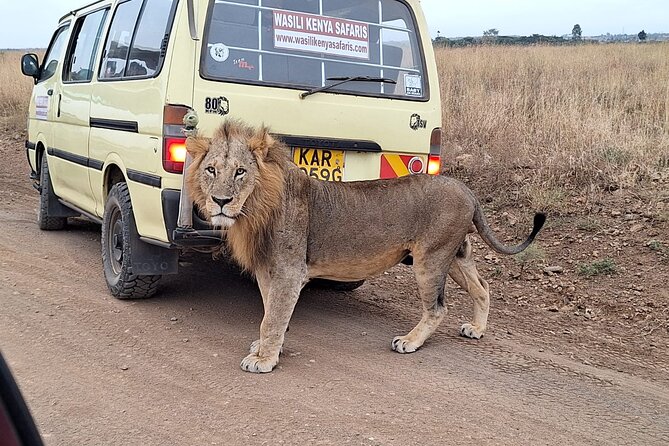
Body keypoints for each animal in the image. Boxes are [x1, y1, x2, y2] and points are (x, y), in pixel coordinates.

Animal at [184, 121, 544, 372]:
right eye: (211, 170)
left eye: (240, 172)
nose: (220, 201)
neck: (255, 208)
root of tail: (466, 188)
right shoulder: (266, 271)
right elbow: (271, 312)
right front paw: (267, 348)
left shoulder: (289, 271)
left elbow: (272, 316)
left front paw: (264, 359)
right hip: (455, 254)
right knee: (482, 286)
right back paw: (477, 329)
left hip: (431, 258)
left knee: (438, 308)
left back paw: (409, 341)